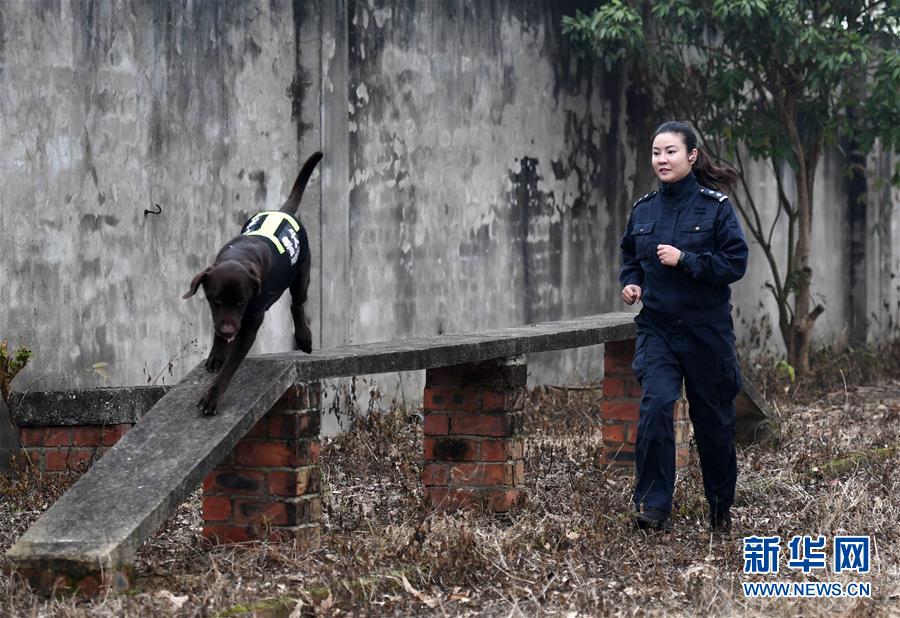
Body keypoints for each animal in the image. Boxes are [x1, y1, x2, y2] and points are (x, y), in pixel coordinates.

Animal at [184, 151, 324, 412]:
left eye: (242, 302)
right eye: (216, 300)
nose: (229, 330)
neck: (239, 256)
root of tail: (284, 211)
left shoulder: (250, 324)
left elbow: (230, 366)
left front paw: (212, 397)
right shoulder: (221, 316)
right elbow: (218, 334)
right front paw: (217, 354)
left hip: (302, 276)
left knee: (297, 304)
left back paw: (303, 337)